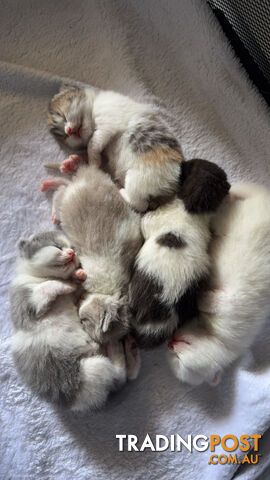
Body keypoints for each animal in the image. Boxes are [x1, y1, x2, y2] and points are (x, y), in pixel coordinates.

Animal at [9, 232, 139, 408]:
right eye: (57, 246)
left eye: (73, 248)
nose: (71, 253)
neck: (39, 276)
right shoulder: (27, 303)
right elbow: (48, 286)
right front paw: (68, 283)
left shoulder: (75, 300)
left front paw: (77, 276)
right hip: (89, 374)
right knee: (118, 378)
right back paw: (117, 348)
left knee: (123, 378)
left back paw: (129, 349)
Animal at [41, 165, 142, 344]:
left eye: (84, 322)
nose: (78, 303)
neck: (110, 291)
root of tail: (86, 172)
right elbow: (77, 274)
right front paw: (79, 274)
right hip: (65, 202)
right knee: (59, 191)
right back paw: (52, 205)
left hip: (69, 195)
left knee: (63, 185)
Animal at [48, 85, 184, 212]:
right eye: (64, 136)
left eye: (62, 115)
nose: (69, 131)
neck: (94, 104)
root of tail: (172, 188)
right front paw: (75, 161)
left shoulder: (108, 123)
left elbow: (92, 143)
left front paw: (92, 161)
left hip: (141, 177)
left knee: (140, 204)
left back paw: (120, 190)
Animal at [169, 183, 270, 386]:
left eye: (178, 357)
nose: (170, 343)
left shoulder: (234, 304)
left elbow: (216, 301)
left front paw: (200, 296)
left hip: (233, 216)